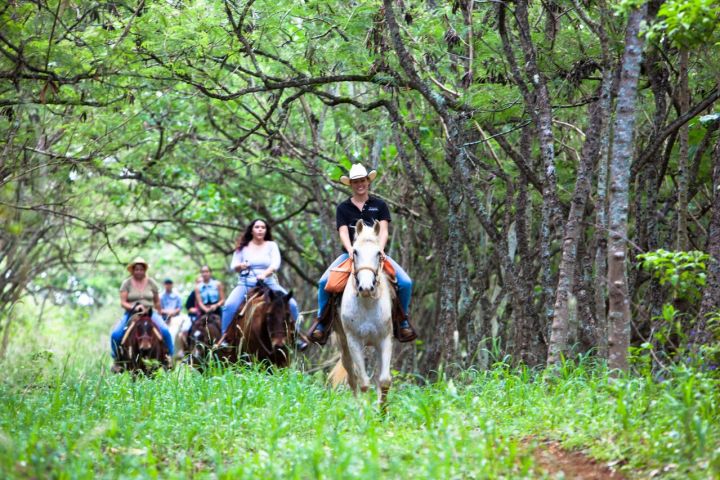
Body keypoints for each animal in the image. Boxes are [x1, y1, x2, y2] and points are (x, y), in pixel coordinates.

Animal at [334, 220, 394, 404]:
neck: (367, 303)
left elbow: (384, 380)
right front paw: (364, 410)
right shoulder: (354, 341)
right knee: (352, 377)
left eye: (378, 253)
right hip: (343, 343)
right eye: (355, 252)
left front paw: (382, 409)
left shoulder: (384, 340)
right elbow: (364, 383)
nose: (366, 288)